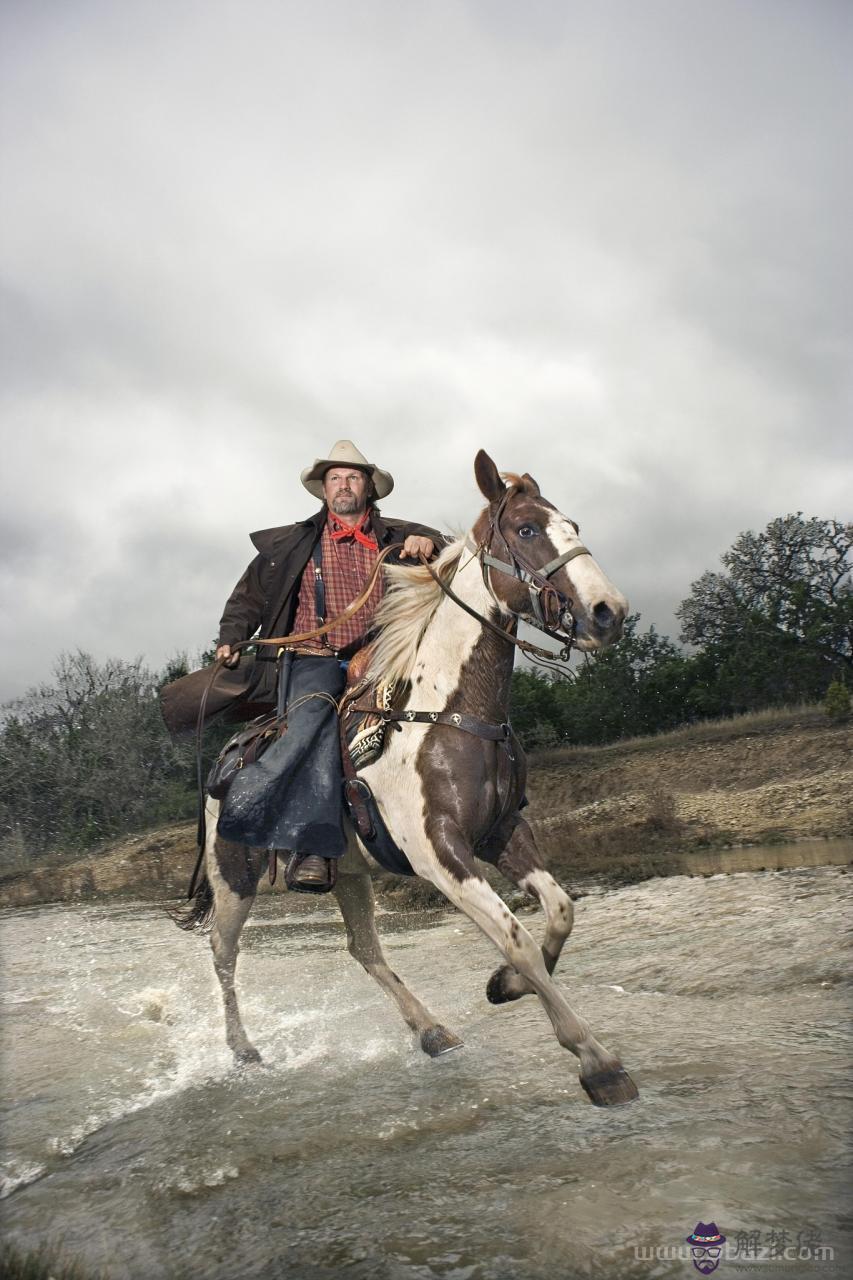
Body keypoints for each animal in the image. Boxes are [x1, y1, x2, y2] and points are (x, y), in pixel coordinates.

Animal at [179, 453, 637, 1111]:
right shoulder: (439, 852)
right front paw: (596, 1060)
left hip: (346, 871)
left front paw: (506, 986)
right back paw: (243, 1050)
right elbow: (517, 938)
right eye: (525, 529)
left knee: (363, 948)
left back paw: (431, 1030)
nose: (609, 612)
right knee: (222, 953)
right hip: (233, 877)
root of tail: (226, 761)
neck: (444, 708)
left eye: (571, 524)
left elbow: (559, 911)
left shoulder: (503, 831)